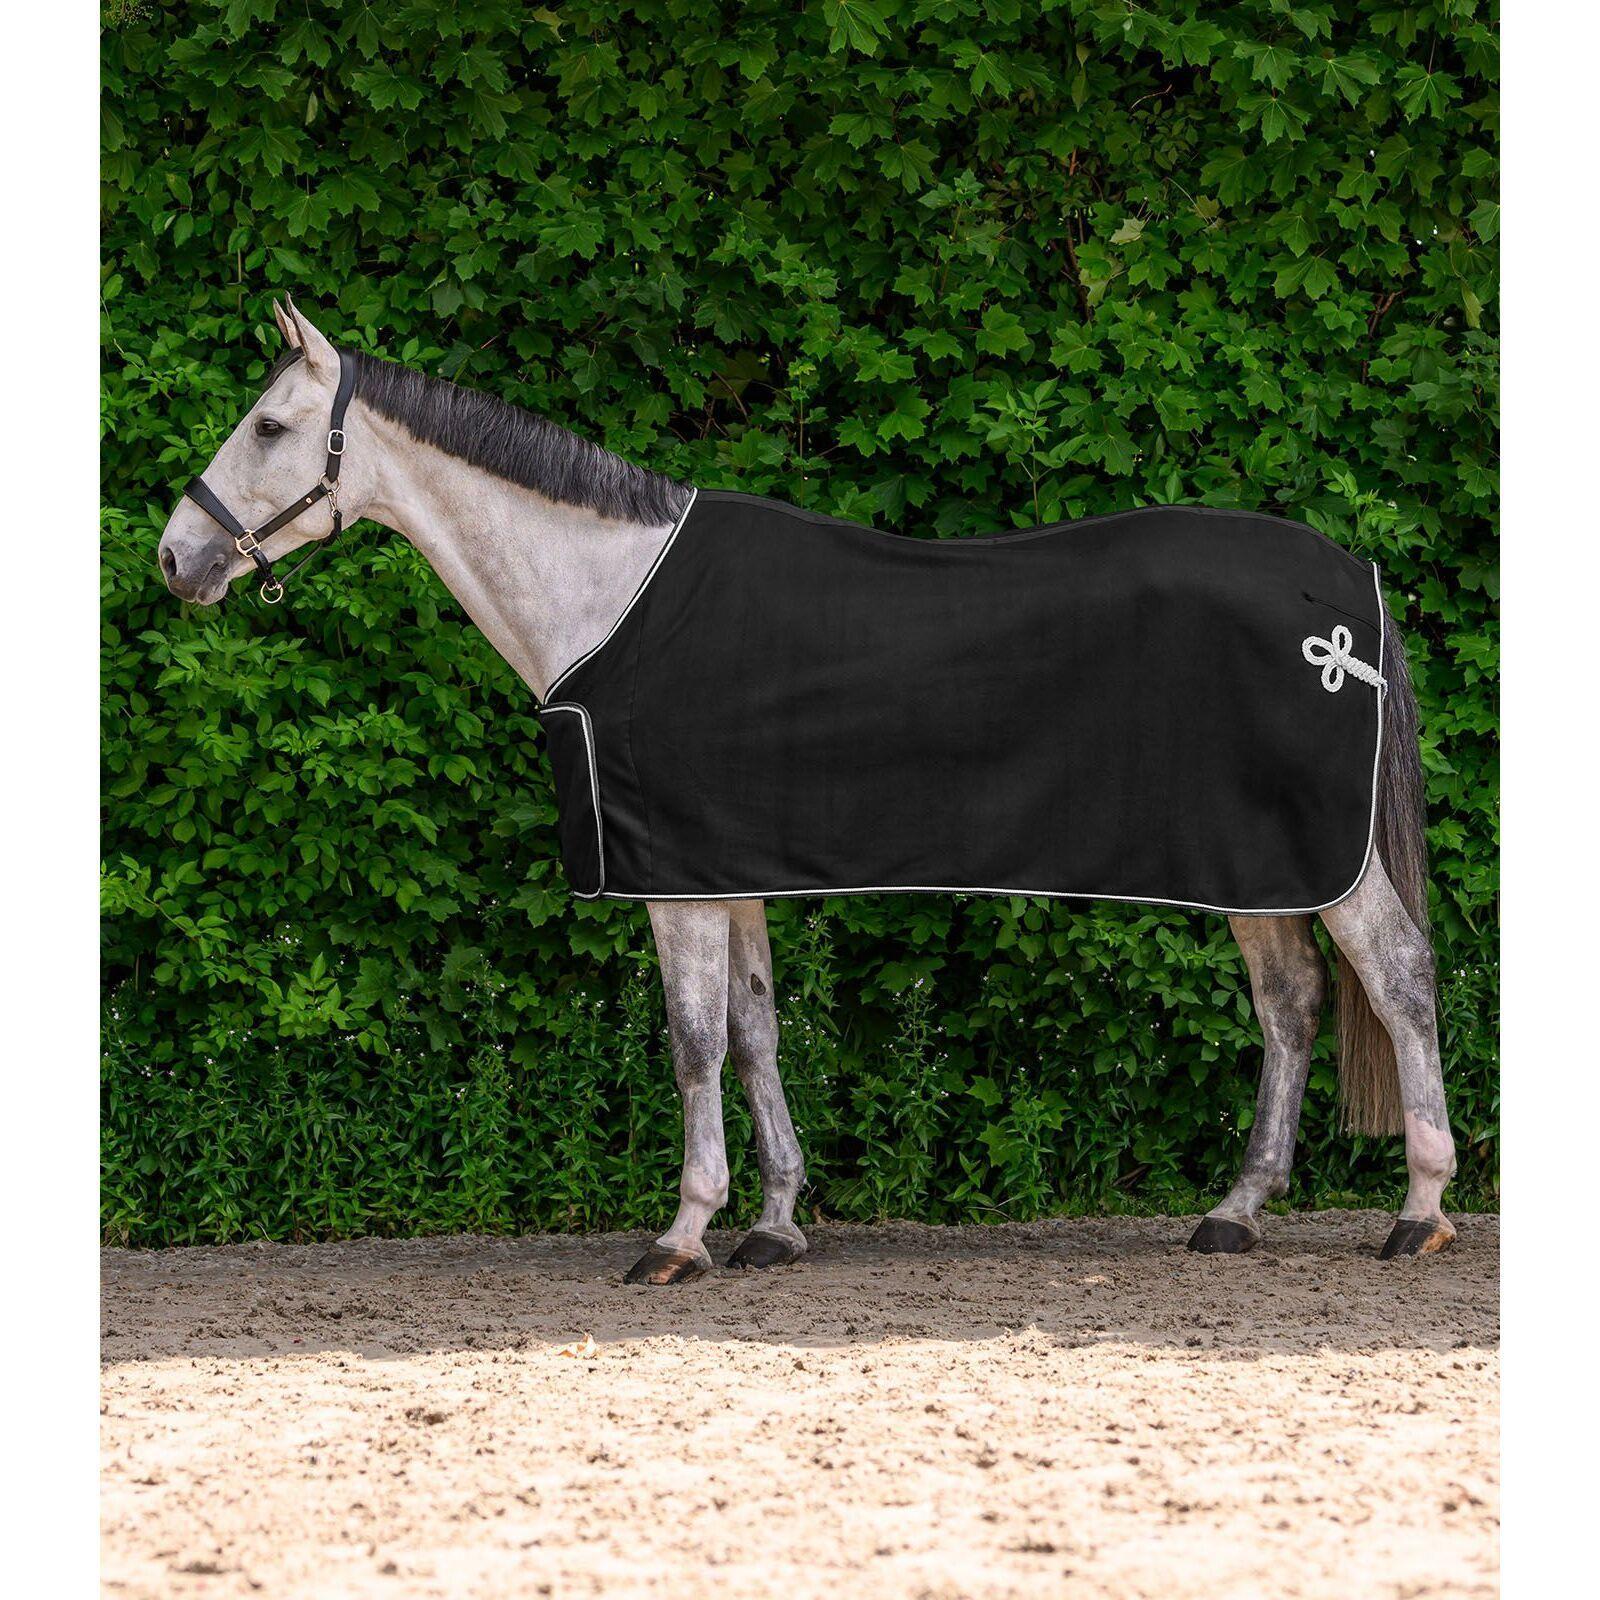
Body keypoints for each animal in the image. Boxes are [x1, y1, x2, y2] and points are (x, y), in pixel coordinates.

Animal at [156, 299, 1458, 1283]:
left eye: (270, 423)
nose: (177, 558)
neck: (608, 594)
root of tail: (1351, 593)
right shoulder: (724, 867)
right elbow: (756, 1032)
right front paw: (774, 1224)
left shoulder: (674, 880)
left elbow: (691, 1044)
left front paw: (681, 1235)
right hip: (1257, 866)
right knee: (1291, 1004)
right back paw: (1235, 1210)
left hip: (1317, 862)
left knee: (1395, 977)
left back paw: (1419, 1211)